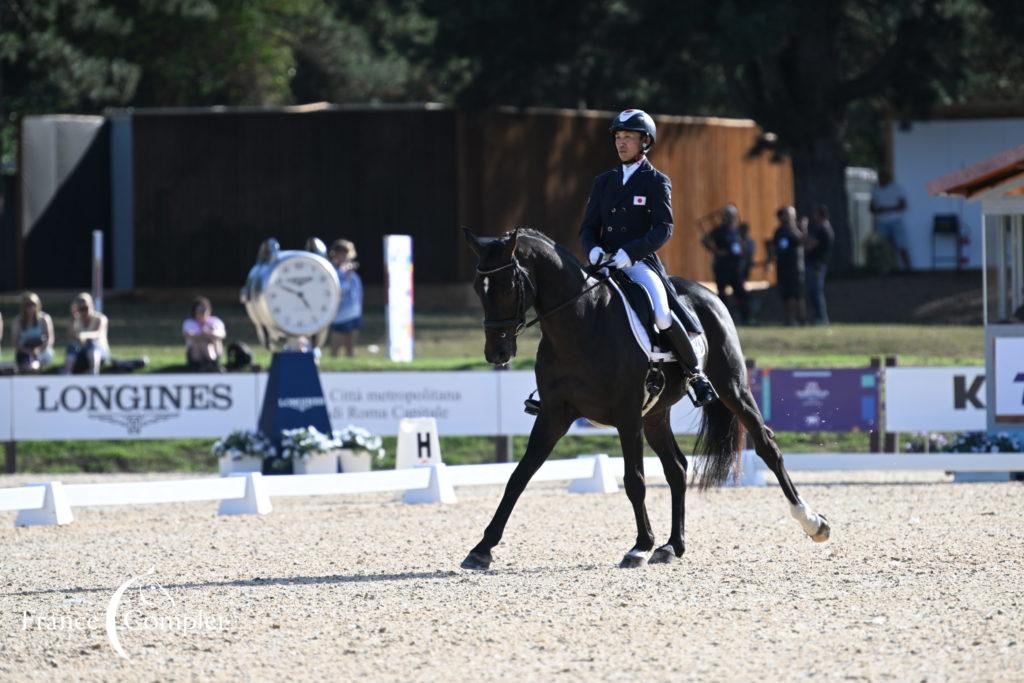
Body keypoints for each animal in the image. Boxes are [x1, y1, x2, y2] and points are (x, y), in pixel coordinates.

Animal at [464, 227, 831, 569]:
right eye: (478, 288)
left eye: (507, 286)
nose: (497, 353)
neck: (581, 323)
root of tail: (705, 291)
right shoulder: (554, 414)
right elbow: (518, 477)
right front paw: (481, 549)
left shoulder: (627, 416)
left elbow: (634, 481)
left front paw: (639, 546)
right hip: (655, 415)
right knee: (677, 468)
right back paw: (672, 546)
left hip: (732, 388)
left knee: (766, 445)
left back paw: (813, 523)